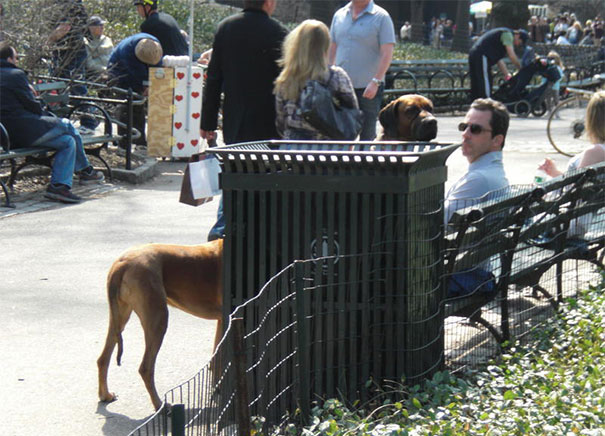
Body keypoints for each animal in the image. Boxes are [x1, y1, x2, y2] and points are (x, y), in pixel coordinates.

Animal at [95, 237, 223, 410]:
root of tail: (122, 263)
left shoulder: (223, 319)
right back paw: (159, 405)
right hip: (158, 318)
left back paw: (105, 395)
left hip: (119, 317)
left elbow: (216, 356)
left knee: (103, 358)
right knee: (145, 368)